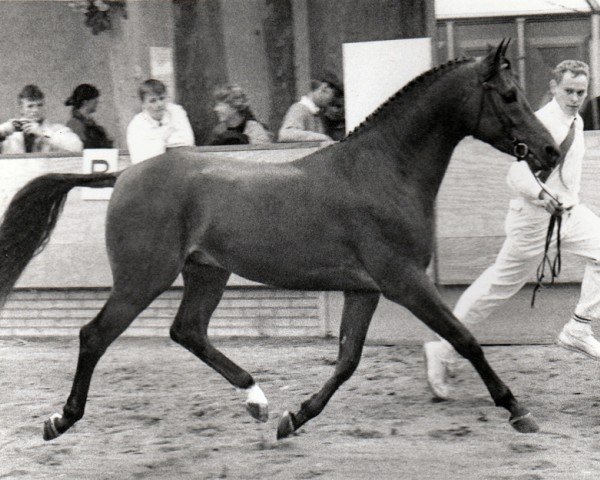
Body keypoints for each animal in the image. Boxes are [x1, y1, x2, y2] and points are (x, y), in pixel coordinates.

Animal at [0, 41, 556, 442]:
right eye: (509, 95)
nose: (549, 150)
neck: (382, 172)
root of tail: (124, 173)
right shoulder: (404, 281)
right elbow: (465, 339)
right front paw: (518, 411)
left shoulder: (365, 288)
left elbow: (348, 360)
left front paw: (296, 417)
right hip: (143, 278)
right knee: (94, 335)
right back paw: (60, 420)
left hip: (207, 272)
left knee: (188, 331)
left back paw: (258, 401)